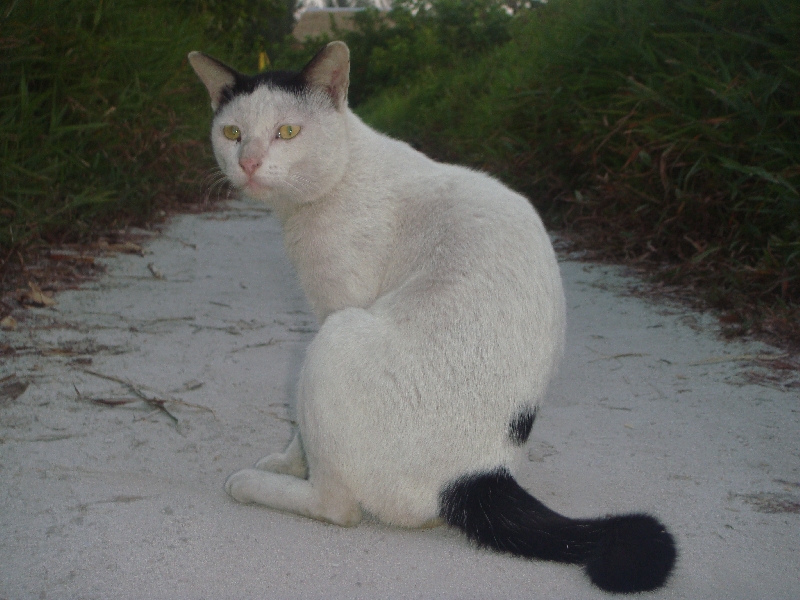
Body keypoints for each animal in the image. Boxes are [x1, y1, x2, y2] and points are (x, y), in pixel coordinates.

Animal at [188, 43, 676, 596]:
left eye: (287, 132)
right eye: (232, 133)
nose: (248, 162)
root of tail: (478, 475)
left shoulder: (335, 305)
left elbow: (303, 434)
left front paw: (291, 463)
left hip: (337, 338)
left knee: (338, 507)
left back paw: (253, 486)